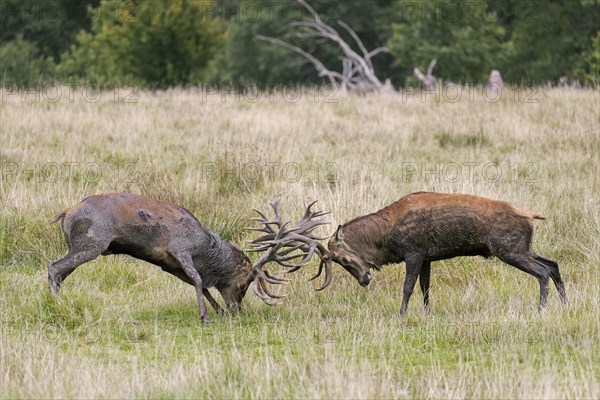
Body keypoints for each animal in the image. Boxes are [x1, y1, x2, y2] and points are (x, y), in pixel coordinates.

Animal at [328, 192, 568, 314]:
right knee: (553, 264)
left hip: (509, 249)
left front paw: (401, 315)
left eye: (343, 259)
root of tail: (531, 215)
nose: (363, 280)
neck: (386, 237)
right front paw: (427, 314)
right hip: (523, 247)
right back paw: (565, 304)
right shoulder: (426, 257)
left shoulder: (414, 252)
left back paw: (541, 309)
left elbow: (408, 287)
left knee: (542, 271)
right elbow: (425, 287)